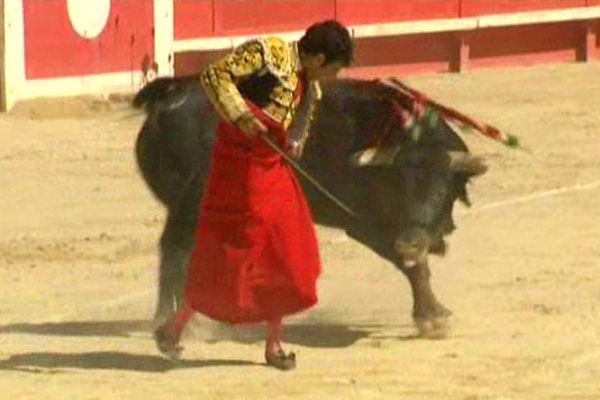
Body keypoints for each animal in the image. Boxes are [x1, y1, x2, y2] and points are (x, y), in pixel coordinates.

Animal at [132, 75, 488, 338]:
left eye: (441, 190)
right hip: (191, 204)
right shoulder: (363, 225)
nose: (410, 242)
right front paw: (432, 317)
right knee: (176, 249)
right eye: (397, 187)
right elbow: (415, 268)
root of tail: (172, 94)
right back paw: (169, 320)